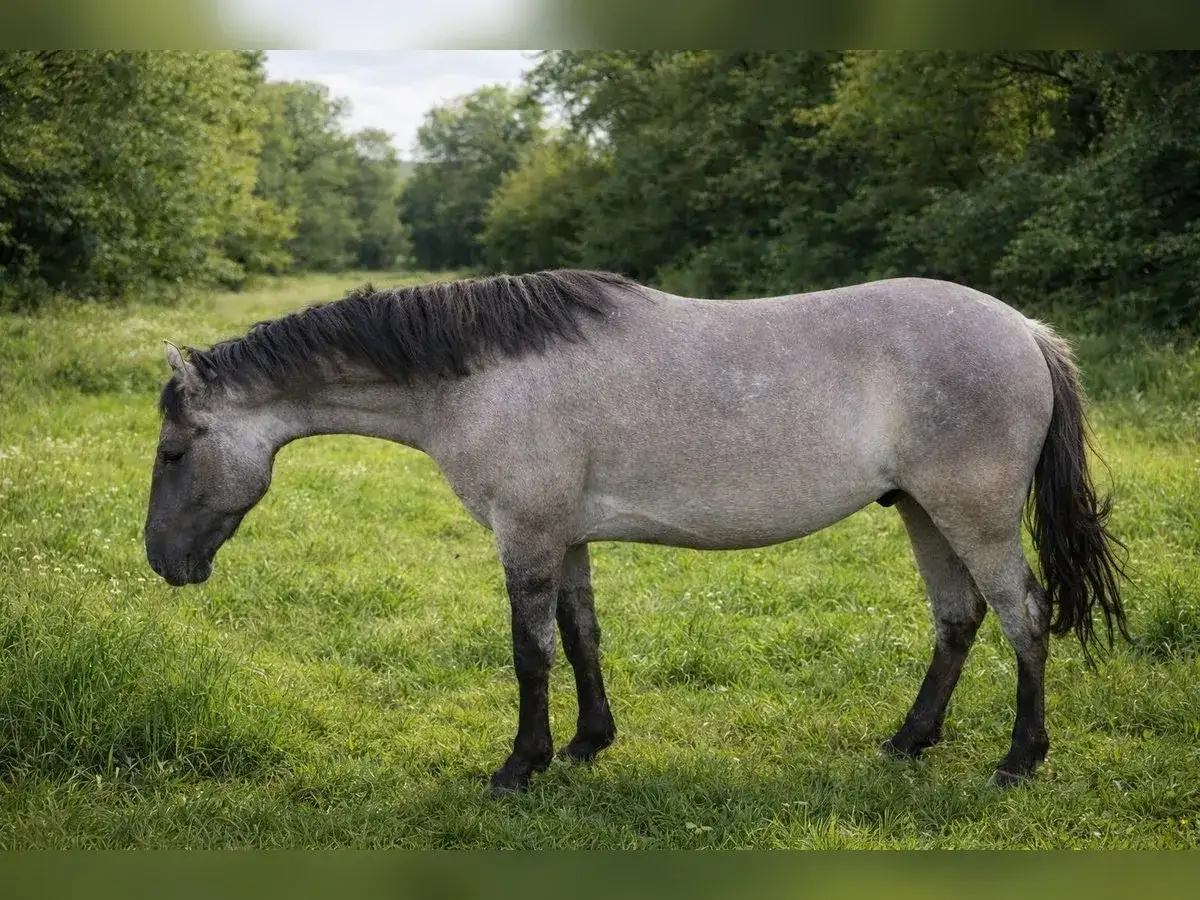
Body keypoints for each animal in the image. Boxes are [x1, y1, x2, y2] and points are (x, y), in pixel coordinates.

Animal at [144, 269, 1128, 796]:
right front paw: (588, 744)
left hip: (974, 514)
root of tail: (1024, 329)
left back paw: (1018, 759)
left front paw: (520, 765)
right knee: (958, 619)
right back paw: (909, 739)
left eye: (174, 450)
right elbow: (581, 636)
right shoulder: (566, 537)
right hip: (923, 511)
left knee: (1023, 615)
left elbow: (530, 653)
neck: (482, 375)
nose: (161, 563)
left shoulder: (526, 535)